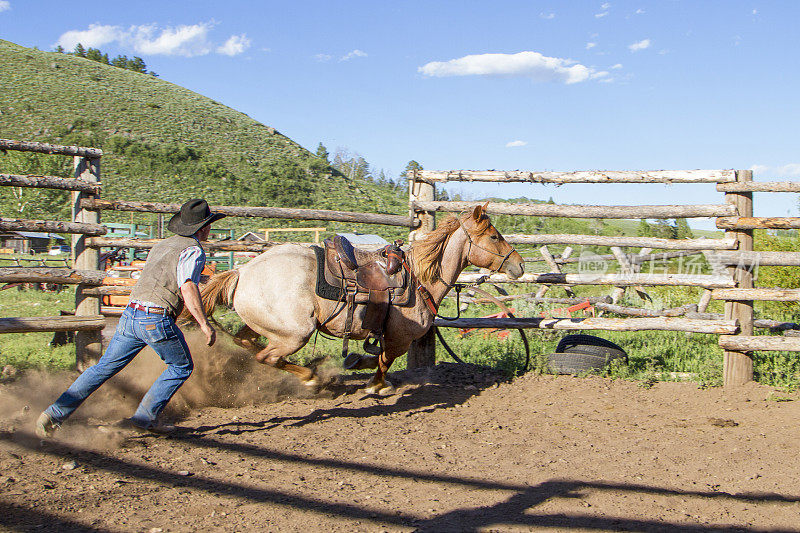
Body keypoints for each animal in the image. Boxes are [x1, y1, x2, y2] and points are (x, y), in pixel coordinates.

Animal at [198, 202, 524, 392]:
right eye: (494, 236)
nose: (518, 265)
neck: (420, 277)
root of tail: (242, 271)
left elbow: (374, 356)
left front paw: (357, 363)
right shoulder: (399, 338)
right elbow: (384, 360)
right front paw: (377, 385)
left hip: (263, 326)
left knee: (246, 342)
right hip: (294, 334)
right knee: (268, 357)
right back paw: (312, 377)